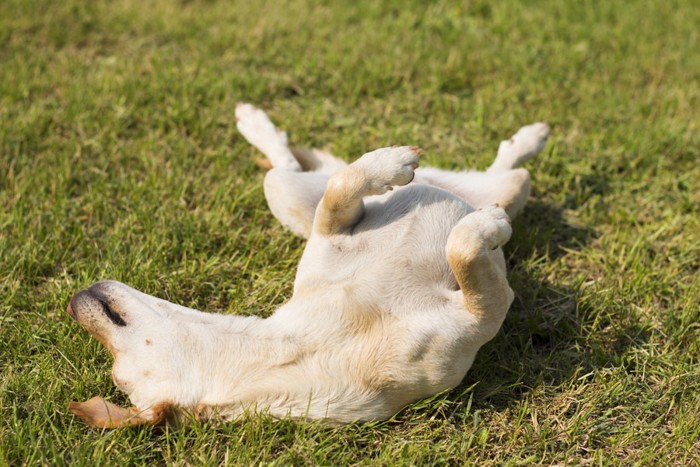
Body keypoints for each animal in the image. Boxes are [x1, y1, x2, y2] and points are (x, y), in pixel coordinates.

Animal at [65, 106, 548, 428]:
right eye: (118, 373)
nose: (72, 302)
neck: (293, 345)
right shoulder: (479, 315)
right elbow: (464, 251)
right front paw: (485, 226)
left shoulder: (330, 231)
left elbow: (340, 191)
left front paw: (383, 164)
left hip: (291, 194)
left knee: (304, 168)